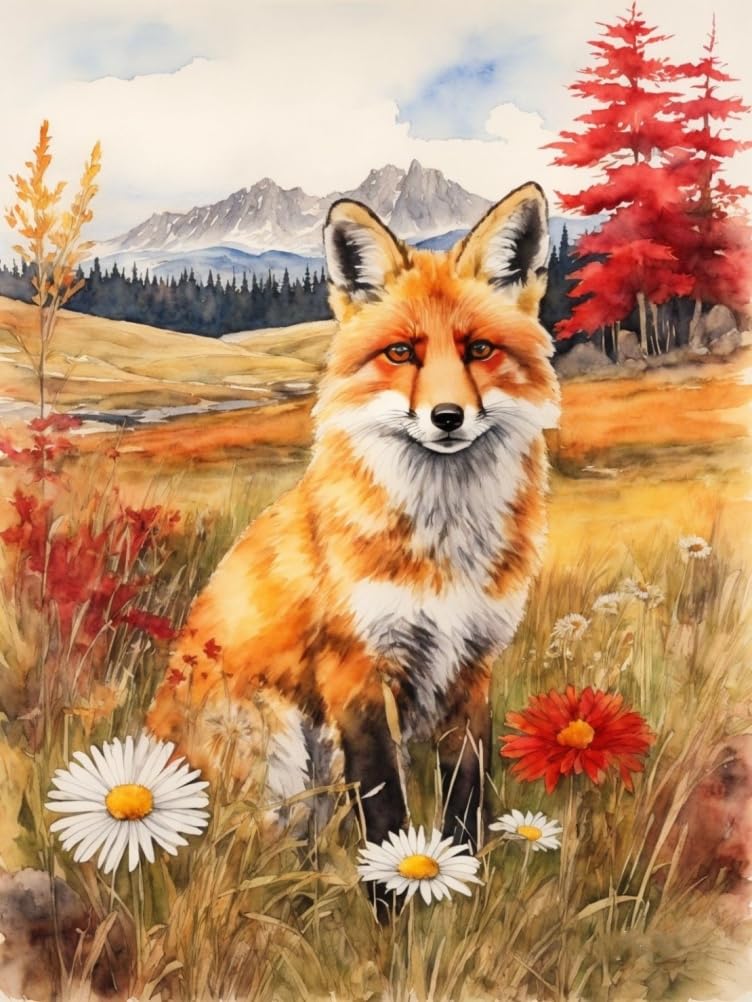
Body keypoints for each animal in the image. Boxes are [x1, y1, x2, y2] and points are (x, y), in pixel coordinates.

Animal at [147, 181, 560, 850]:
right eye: (401, 353)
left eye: (479, 350)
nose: (448, 417)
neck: (443, 545)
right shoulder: (356, 672)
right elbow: (385, 803)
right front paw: (396, 880)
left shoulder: (472, 666)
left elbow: (465, 797)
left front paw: (461, 874)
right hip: (279, 749)